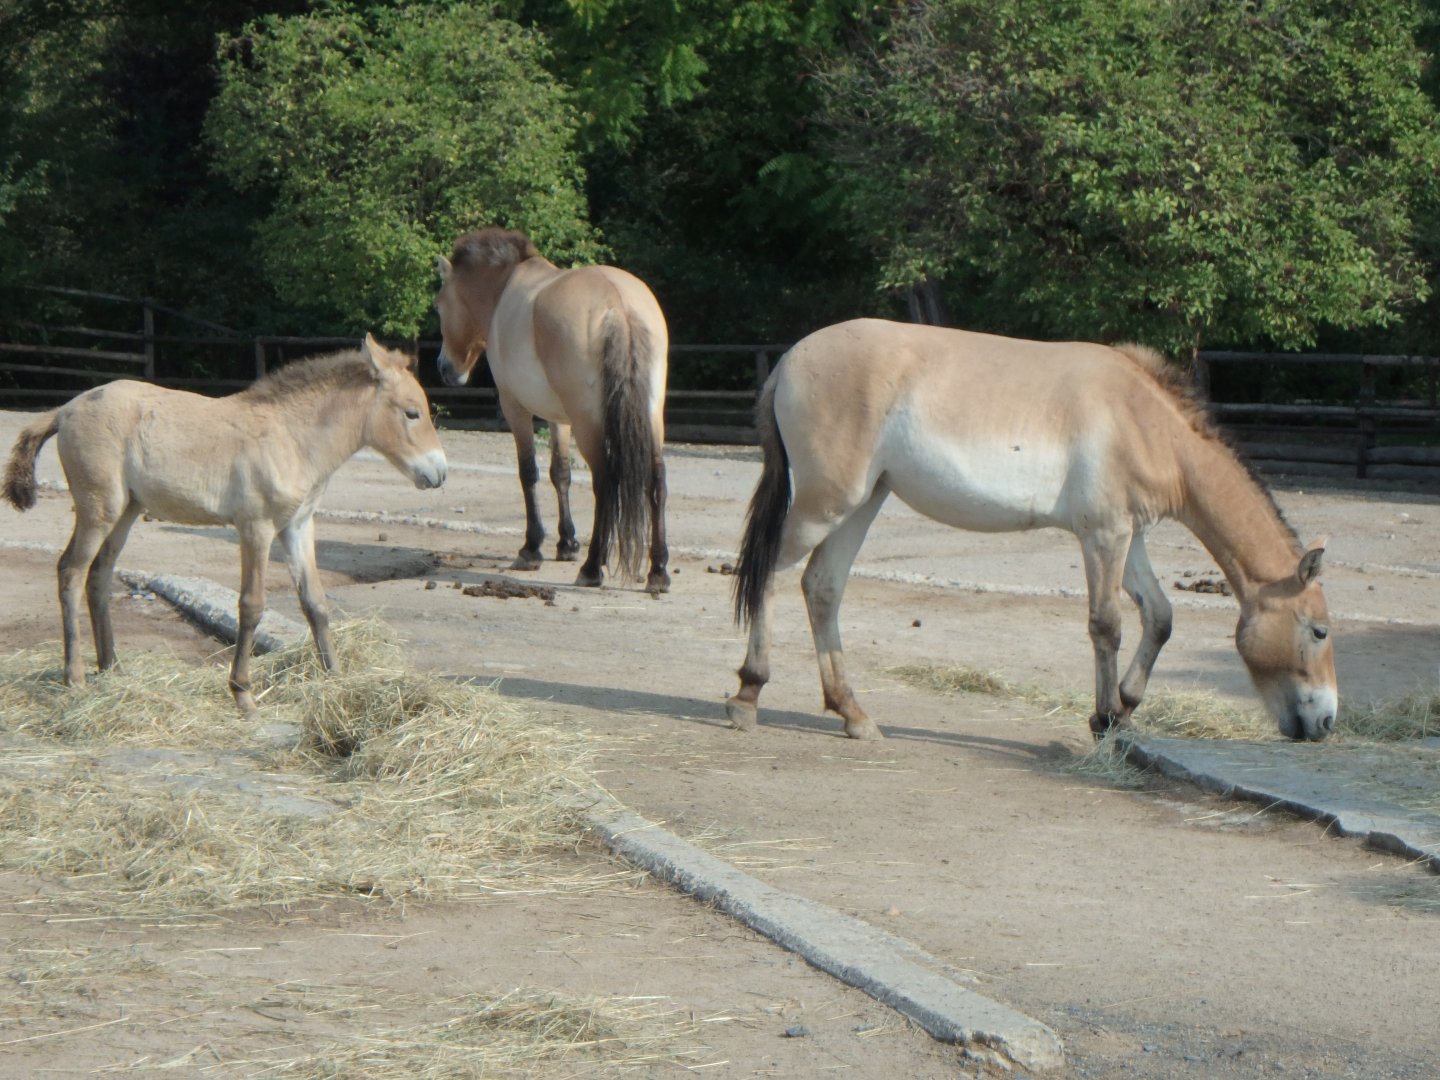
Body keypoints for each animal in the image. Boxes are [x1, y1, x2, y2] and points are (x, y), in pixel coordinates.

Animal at [4, 335, 448, 715]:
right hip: (99, 508)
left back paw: (112, 668)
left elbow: (315, 603)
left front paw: (336, 678)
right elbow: (251, 606)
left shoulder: (298, 526)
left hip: (127, 511)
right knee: (71, 571)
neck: (293, 437)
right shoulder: (256, 527)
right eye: (412, 413)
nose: (439, 473)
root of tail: (65, 410)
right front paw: (243, 694)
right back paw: (75, 676)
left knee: (98, 575)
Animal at [433, 227, 671, 593]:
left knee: (605, 480)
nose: (444, 368)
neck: (504, 289)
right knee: (656, 477)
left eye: (439, 306)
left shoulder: (515, 407)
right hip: (649, 415)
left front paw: (532, 548)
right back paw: (657, 570)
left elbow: (528, 471)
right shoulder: (560, 419)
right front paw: (567, 543)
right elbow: (561, 473)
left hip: (589, 424)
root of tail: (618, 304)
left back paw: (592, 568)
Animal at [726, 319, 1338, 742]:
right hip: (827, 505)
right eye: (1319, 631)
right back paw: (747, 694)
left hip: (861, 503)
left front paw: (1124, 710)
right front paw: (1104, 718)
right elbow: (1107, 625)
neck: (1144, 420)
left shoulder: (1127, 536)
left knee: (821, 588)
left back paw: (853, 715)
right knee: (768, 573)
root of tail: (788, 362)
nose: (1327, 723)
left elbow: (1159, 617)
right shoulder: (1102, 537)